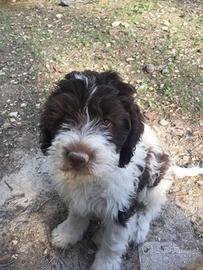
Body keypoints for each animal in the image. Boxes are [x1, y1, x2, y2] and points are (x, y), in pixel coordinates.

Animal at [39, 70, 203, 270]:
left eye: (107, 122)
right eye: (65, 117)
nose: (77, 157)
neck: (94, 176)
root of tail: (170, 166)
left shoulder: (122, 206)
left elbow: (113, 243)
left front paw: (105, 264)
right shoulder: (77, 195)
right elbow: (76, 215)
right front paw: (67, 234)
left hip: (155, 178)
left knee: (151, 207)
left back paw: (138, 228)